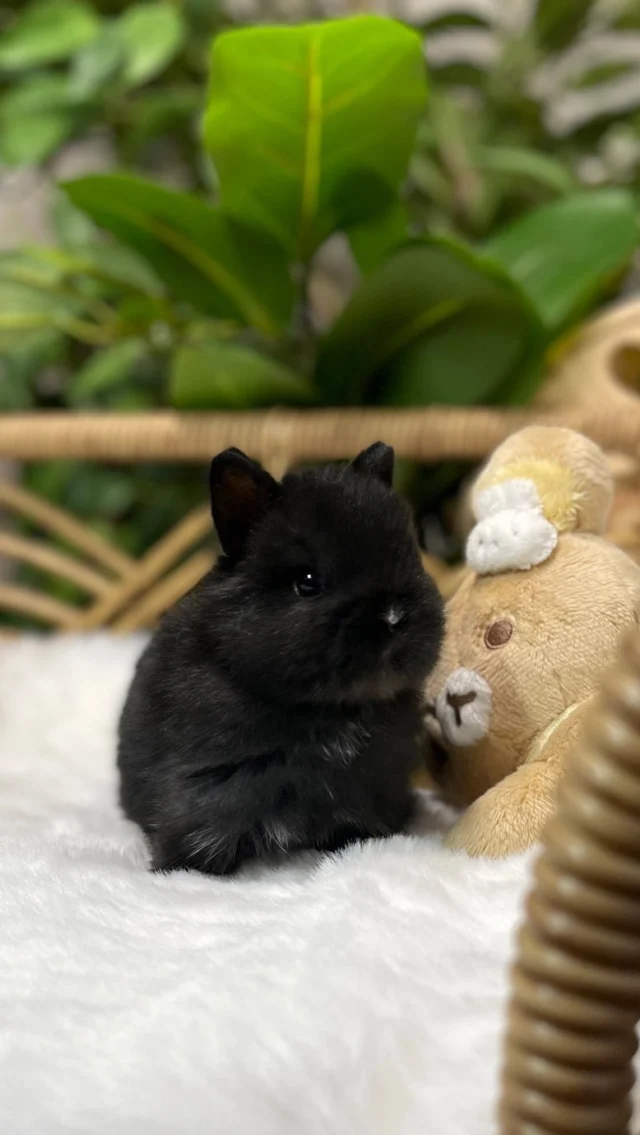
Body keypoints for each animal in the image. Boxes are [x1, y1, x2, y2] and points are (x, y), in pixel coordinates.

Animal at [117, 438, 442, 871]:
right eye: (307, 582)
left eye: (412, 558)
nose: (392, 617)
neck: (331, 710)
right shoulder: (209, 787)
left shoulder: (377, 783)